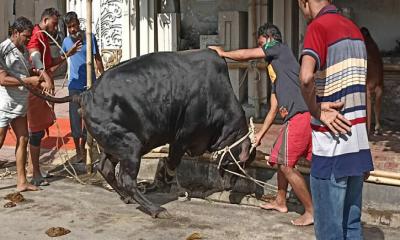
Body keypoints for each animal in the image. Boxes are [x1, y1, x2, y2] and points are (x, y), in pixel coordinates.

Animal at [25, 49, 256, 218]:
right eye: (241, 162)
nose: (230, 185)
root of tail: (85, 94)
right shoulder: (181, 139)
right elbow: (172, 163)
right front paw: (169, 183)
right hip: (132, 145)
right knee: (126, 178)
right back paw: (156, 209)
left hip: (117, 144)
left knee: (105, 167)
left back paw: (126, 197)